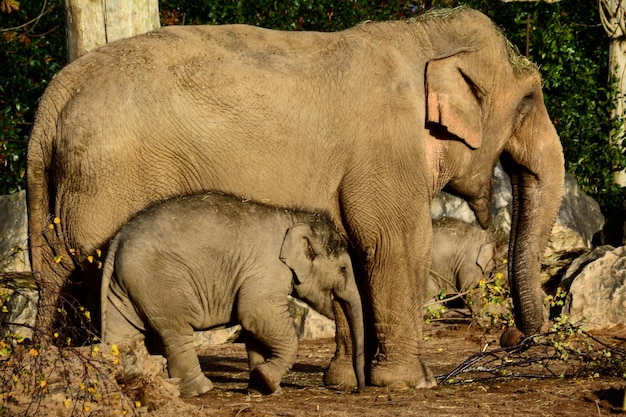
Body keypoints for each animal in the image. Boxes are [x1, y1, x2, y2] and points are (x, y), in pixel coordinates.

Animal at [101, 191, 366, 394]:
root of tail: (117, 240)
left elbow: (254, 329)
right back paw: (201, 390)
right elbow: (255, 315)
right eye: (344, 269)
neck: (294, 217)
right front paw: (267, 380)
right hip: (162, 285)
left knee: (124, 334)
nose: (358, 390)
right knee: (176, 331)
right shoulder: (266, 270)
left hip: (125, 288)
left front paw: (261, 388)